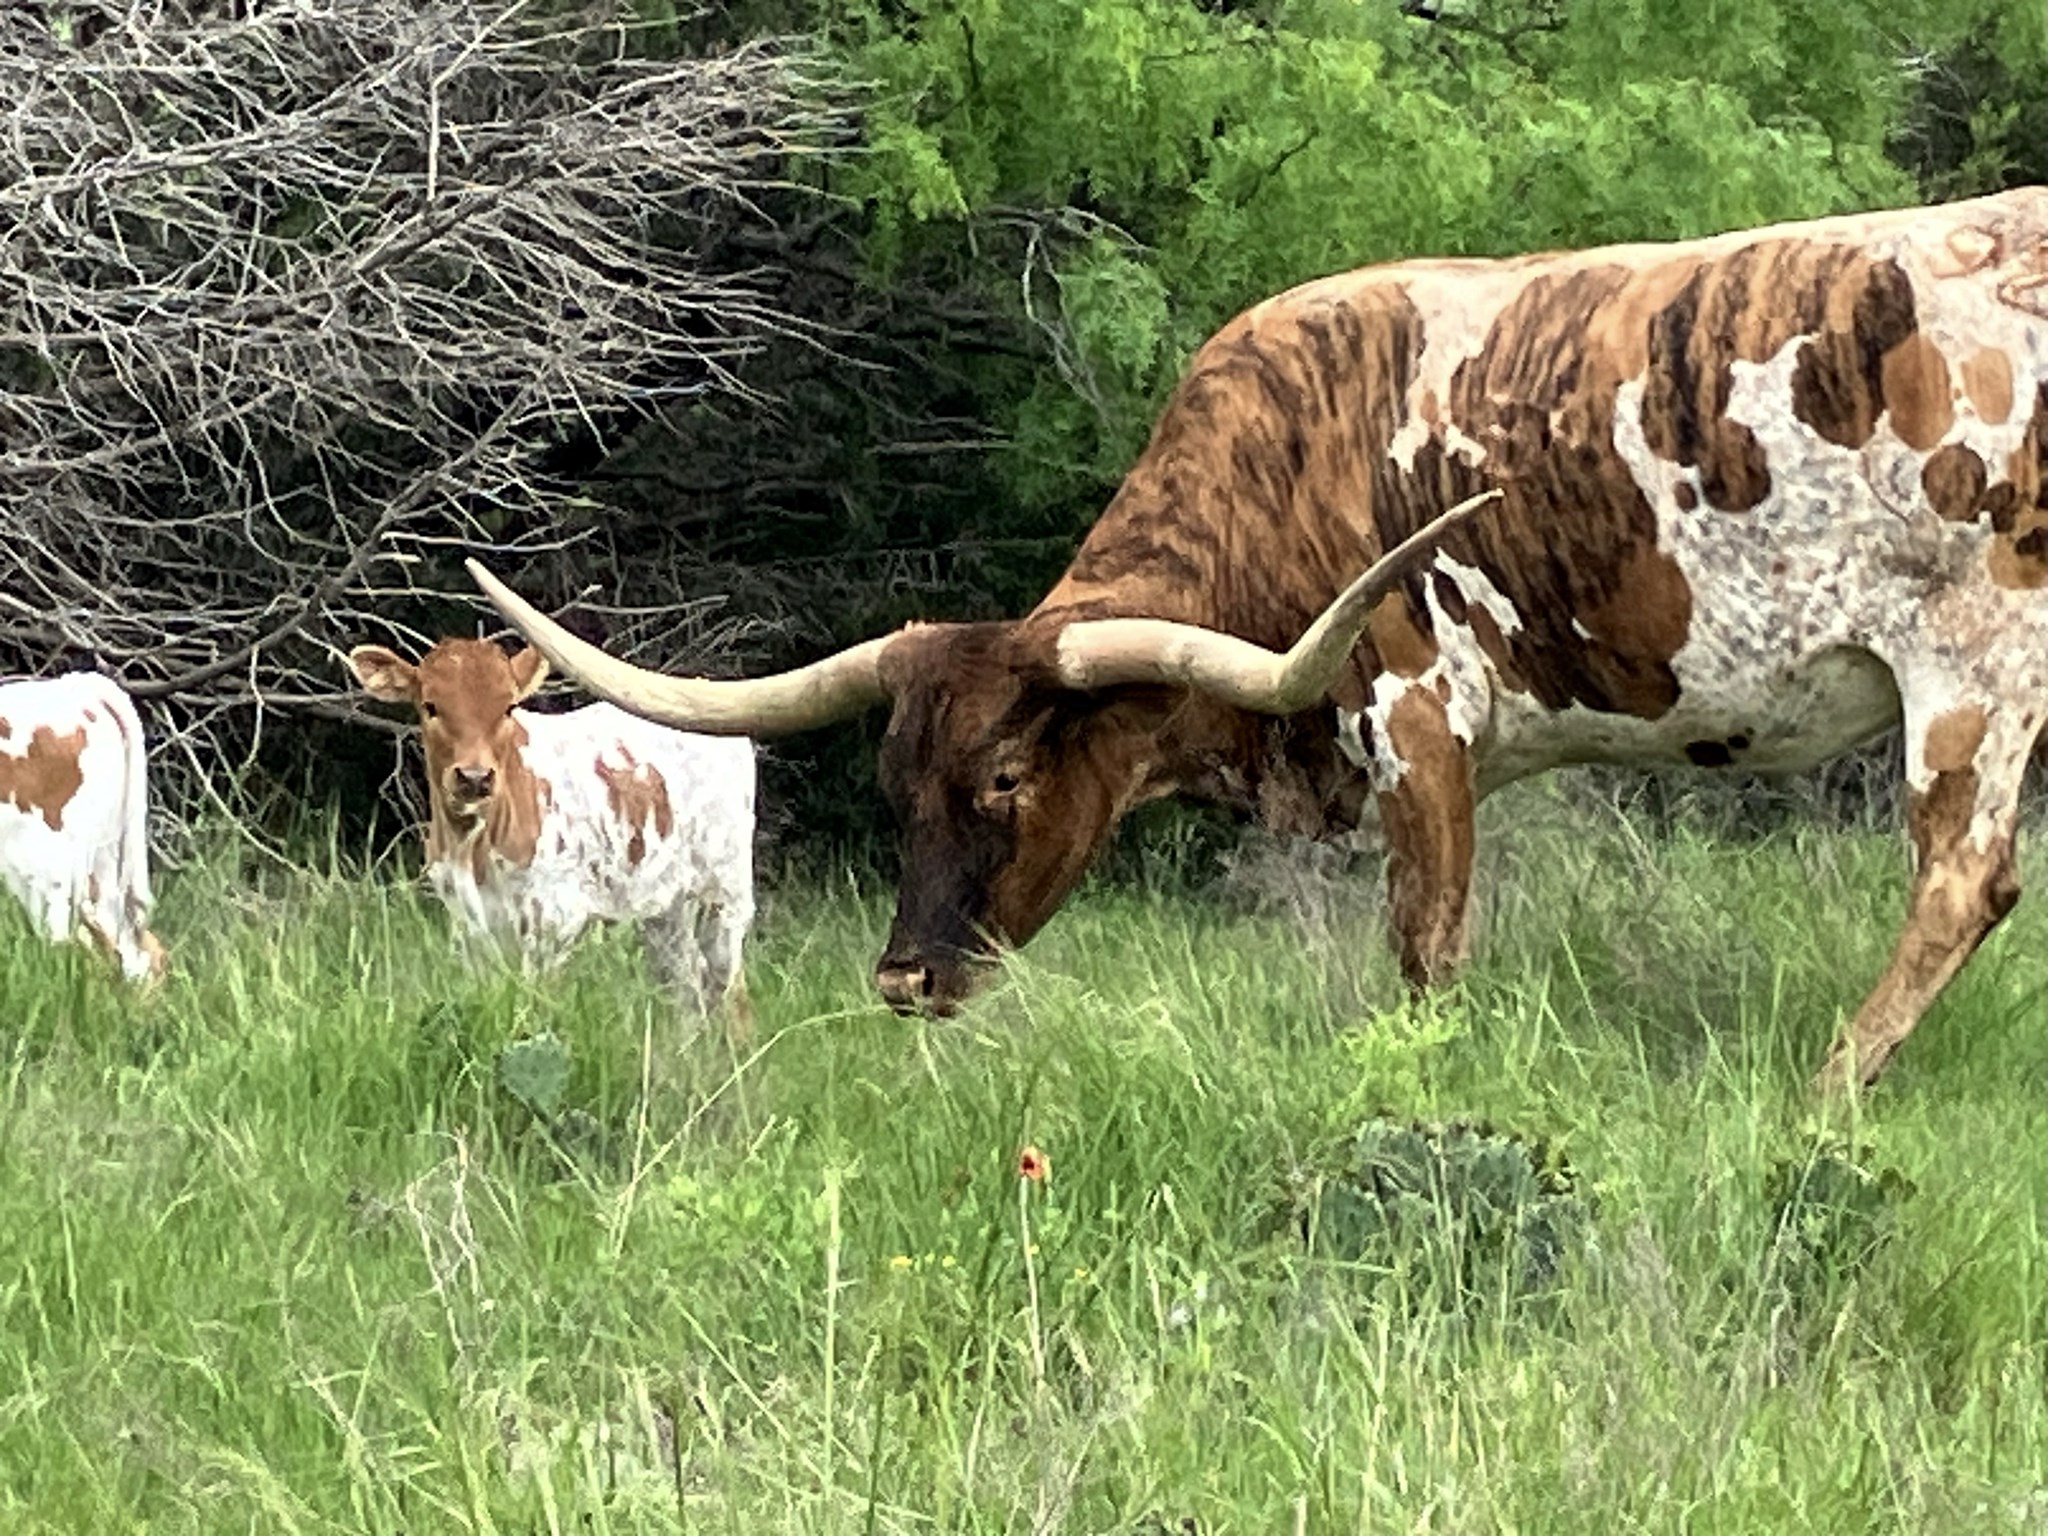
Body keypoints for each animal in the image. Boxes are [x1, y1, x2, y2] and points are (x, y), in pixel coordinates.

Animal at [346, 639, 757, 1022]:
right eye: (431, 706)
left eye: (508, 707)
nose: (475, 777)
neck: (472, 846)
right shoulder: (469, 922)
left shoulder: (553, 919)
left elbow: (536, 1005)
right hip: (665, 905)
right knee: (687, 984)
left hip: (725, 892)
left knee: (730, 990)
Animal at [468, 186, 2048, 1095]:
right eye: (891, 783)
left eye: (1004, 780)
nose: (904, 978)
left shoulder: (1418, 717)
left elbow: (1426, 948)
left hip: (1974, 669)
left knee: (1960, 884)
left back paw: (1826, 1090)